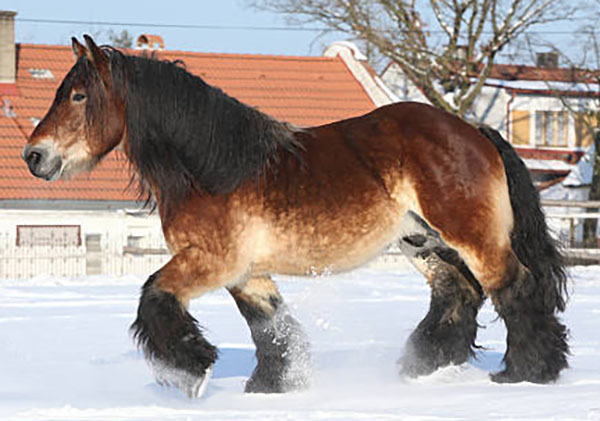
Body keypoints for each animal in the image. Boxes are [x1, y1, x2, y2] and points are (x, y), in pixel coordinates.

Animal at [22, 37, 568, 398]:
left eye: (78, 96)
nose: (33, 156)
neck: (213, 167)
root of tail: (474, 130)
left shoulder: (212, 261)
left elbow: (155, 296)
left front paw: (192, 369)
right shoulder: (246, 272)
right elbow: (269, 326)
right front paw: (271, 385)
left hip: (470, 237)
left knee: (513, 287)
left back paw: (526, 373)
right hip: (424, 241)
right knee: (458, 293)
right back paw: (423, 367)